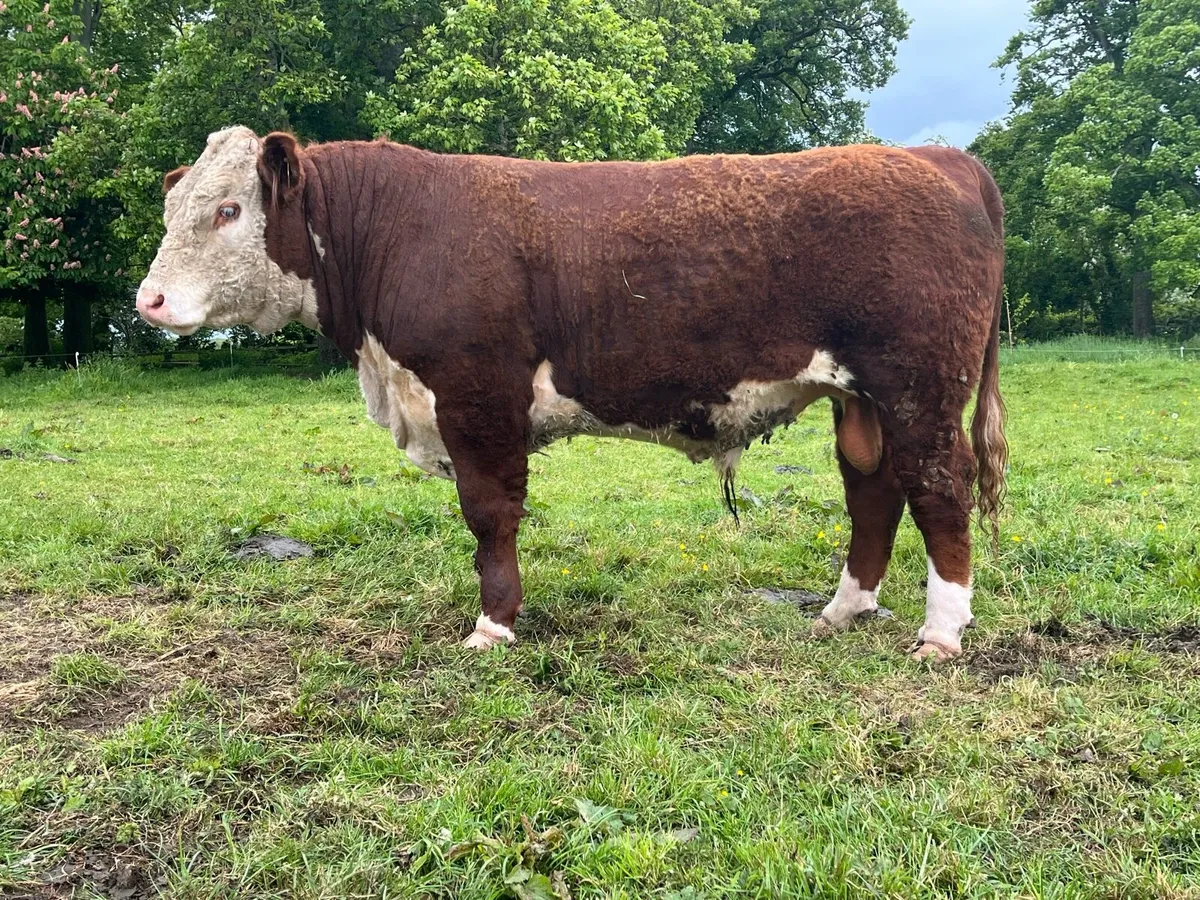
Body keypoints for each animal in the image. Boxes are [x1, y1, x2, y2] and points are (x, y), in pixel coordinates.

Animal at [136, 126, 1007, 660]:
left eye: (228, 209)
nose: (148, 301)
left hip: (918, 385)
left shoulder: (476, 395)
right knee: (875, 490)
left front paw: (493, 626)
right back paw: (843, 610)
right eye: (174, 208)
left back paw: (942, 634)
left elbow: (490, 513)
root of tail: (938, 158)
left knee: (939, 488)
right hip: (862, 399)